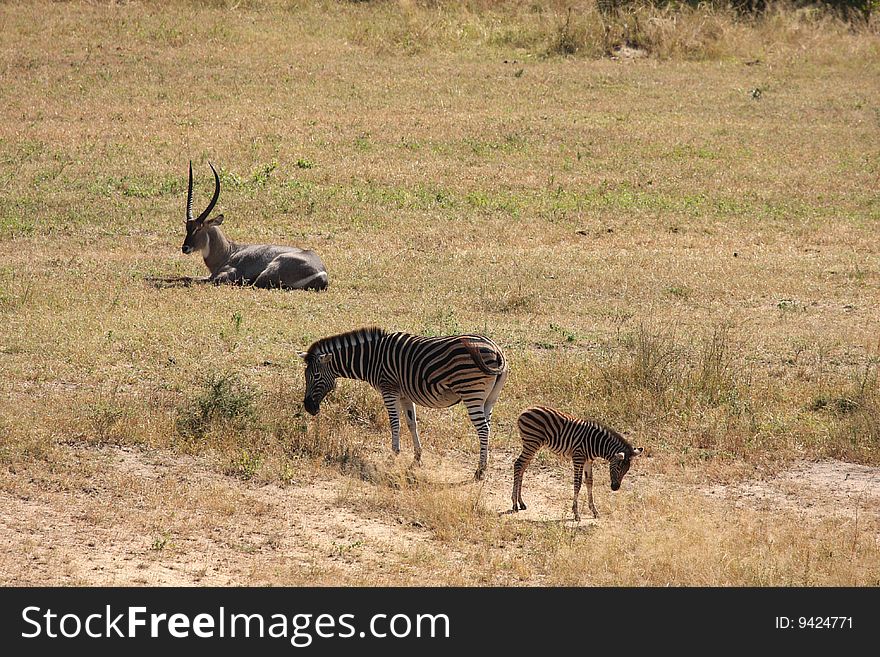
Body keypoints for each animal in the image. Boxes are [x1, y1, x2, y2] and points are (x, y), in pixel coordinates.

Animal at [171, 161, 326, 290]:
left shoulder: (224, 274)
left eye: (198, 228)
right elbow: (184, 276)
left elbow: (194, 279)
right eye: (187, 227)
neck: (229, 251)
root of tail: (321, 274)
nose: (185, 248)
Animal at [300, 326, 512, 476]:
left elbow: (395, 423)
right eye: (306, 376)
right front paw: (417, 458)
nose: (309, 408)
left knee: (483, 429)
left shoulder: (389, 390)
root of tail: (496, 350)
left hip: (471, 392)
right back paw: (484, 465)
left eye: (316, 376)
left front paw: (393, 455)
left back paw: (480, 470)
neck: (371, 358)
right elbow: (412, 424)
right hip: (489, 399)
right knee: (487, 427)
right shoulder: (405, 395)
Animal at [512, 404, 644, 516]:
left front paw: (594, 511)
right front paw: (576, 513)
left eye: (627, 470)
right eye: (618, 467)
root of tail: (526, 409)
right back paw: (514, 504)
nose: (615, 488)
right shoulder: (578, 458)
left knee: (523, 466)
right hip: (532, 442)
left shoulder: (588, 461)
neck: (596, 443)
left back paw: (521, 503)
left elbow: (590, 482)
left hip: (532, 444)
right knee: (518, 464)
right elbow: (578, 483)